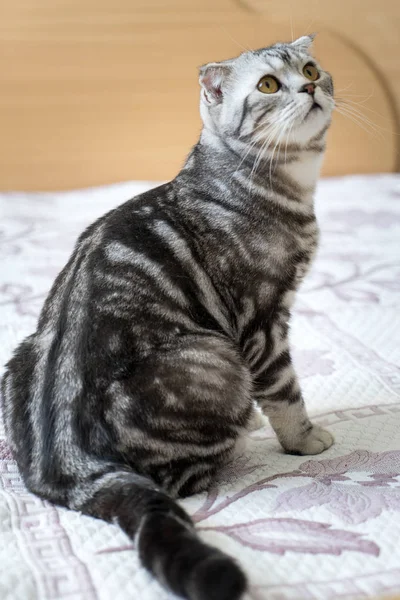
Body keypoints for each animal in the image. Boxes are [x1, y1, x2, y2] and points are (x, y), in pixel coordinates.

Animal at [1, 36, 334, 600]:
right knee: (183, 480)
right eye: (269, 85)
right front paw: (304, 440)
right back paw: (240, 436)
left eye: (311, 70)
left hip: (23, 352)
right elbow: (286, 394)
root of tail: (69, 468)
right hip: (213, 355)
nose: (308, 87)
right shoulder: (262, 321)